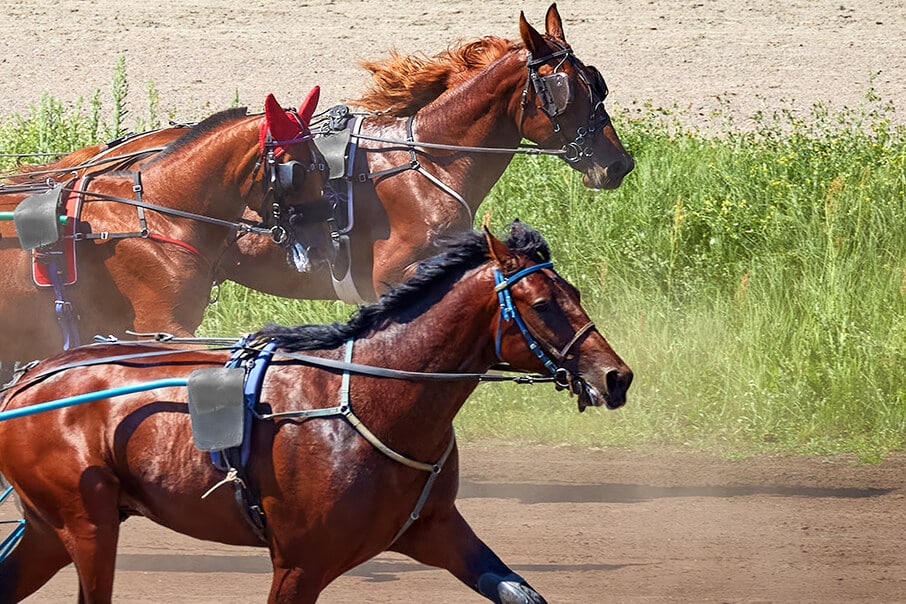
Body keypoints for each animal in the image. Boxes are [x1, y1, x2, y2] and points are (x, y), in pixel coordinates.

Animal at [0, 222, 633, 603]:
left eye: (575, 293)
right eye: (543, 303)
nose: (616, 377)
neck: (375, 399)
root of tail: (26, 381)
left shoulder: (436, 529)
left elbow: (520, 591)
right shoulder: (300, 564)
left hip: (49, 531)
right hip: (87, 525)